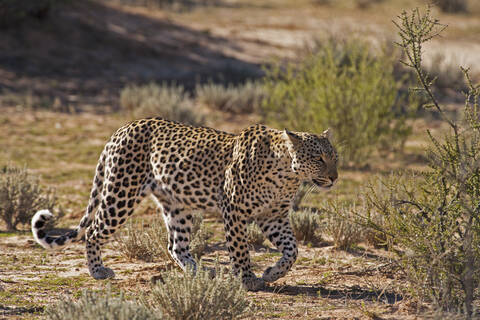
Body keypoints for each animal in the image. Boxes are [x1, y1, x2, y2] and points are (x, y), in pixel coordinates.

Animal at [31, 117, 338, 290]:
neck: (287, 173)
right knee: (94, 231)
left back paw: (202, 273)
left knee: (175, 246)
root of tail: (123, 127)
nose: (335, 177)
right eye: (319, 158)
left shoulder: (273, 216)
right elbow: (240, 249)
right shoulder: (234, 209)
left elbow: (292, 251)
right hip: (121, 192)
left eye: (334, 157)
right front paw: (247, 278)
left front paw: (272, 273)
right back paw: (97, 271)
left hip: (176, 205)